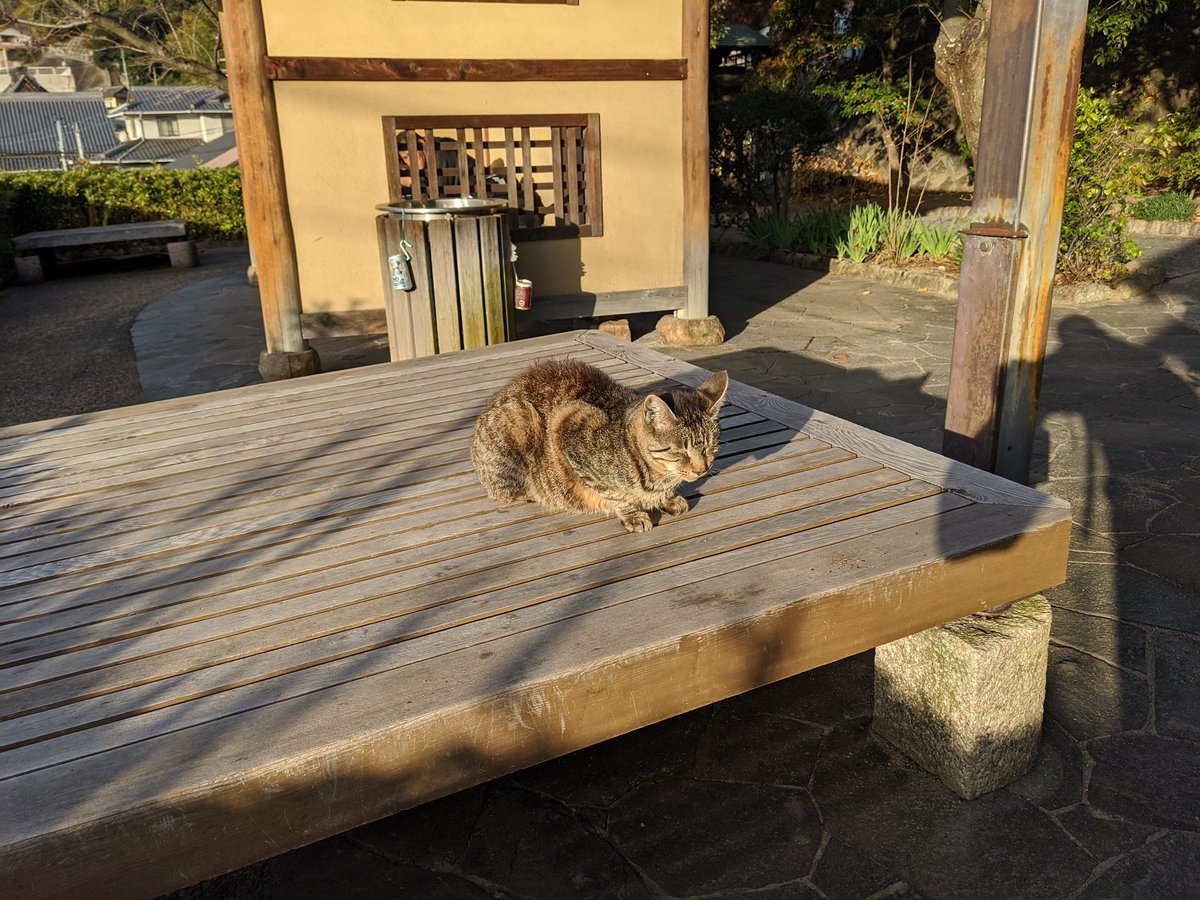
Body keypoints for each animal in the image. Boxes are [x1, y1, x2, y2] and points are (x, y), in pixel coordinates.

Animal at [471, 359, 730, 533]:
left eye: (710, 447)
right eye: (681, 452)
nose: (702, 469)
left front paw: (667, 499)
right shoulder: (567, 425)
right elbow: (612, 492)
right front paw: (632, 513)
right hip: (520, 418)